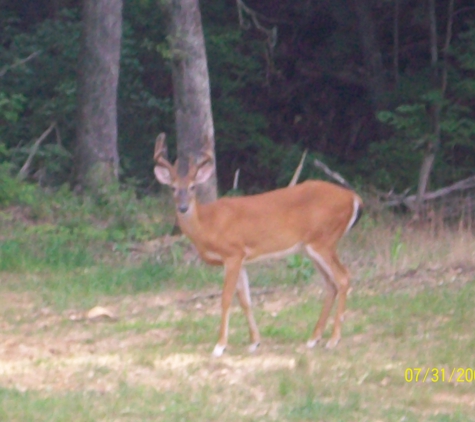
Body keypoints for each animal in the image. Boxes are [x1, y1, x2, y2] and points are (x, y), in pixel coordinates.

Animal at [153, 133, 364, 356]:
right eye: (173, 188)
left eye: (193, 187)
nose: (183, 208)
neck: (207, 225)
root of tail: (354, 198)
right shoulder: (242, 259)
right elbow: (246, 300)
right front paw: (255, 342)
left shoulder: (233, 253)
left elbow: (226, 299)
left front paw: (220, 345)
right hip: (312, 247)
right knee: (331, 284)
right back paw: (313, 338)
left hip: (324, 240)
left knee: (343, 278)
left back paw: (333, 339)